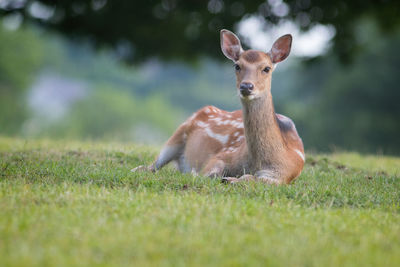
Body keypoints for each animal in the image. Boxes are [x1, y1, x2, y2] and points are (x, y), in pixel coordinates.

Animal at [131, 29, 304, 184]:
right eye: (237, 66)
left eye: (266, 68)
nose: (246, 86)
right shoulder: (224, 155)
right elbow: (208, 173)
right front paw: (204, 175)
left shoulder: (284, 174)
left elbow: (251, 179)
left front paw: (231, 179)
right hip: (177, 135)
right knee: (149, 166)